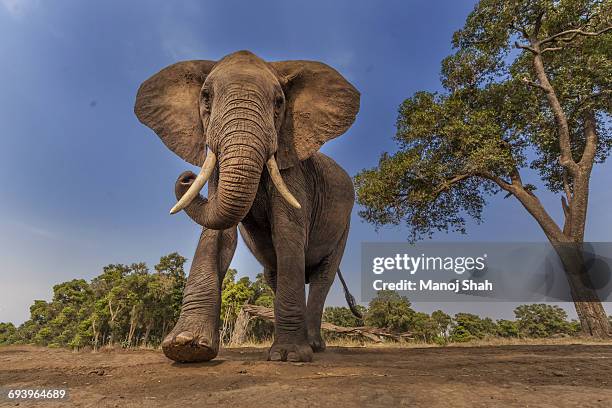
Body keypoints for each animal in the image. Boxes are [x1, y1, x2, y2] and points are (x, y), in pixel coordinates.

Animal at [134, 49, 360, 362]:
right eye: (206, 97)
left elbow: (288, 232)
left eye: (279, 102)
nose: (186, 177)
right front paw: (185, 347)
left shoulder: (293, 167)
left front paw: (290, 356)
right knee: (275, 274)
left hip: (345, 225)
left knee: (322, 277)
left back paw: (313, 346)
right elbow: (217, 235)